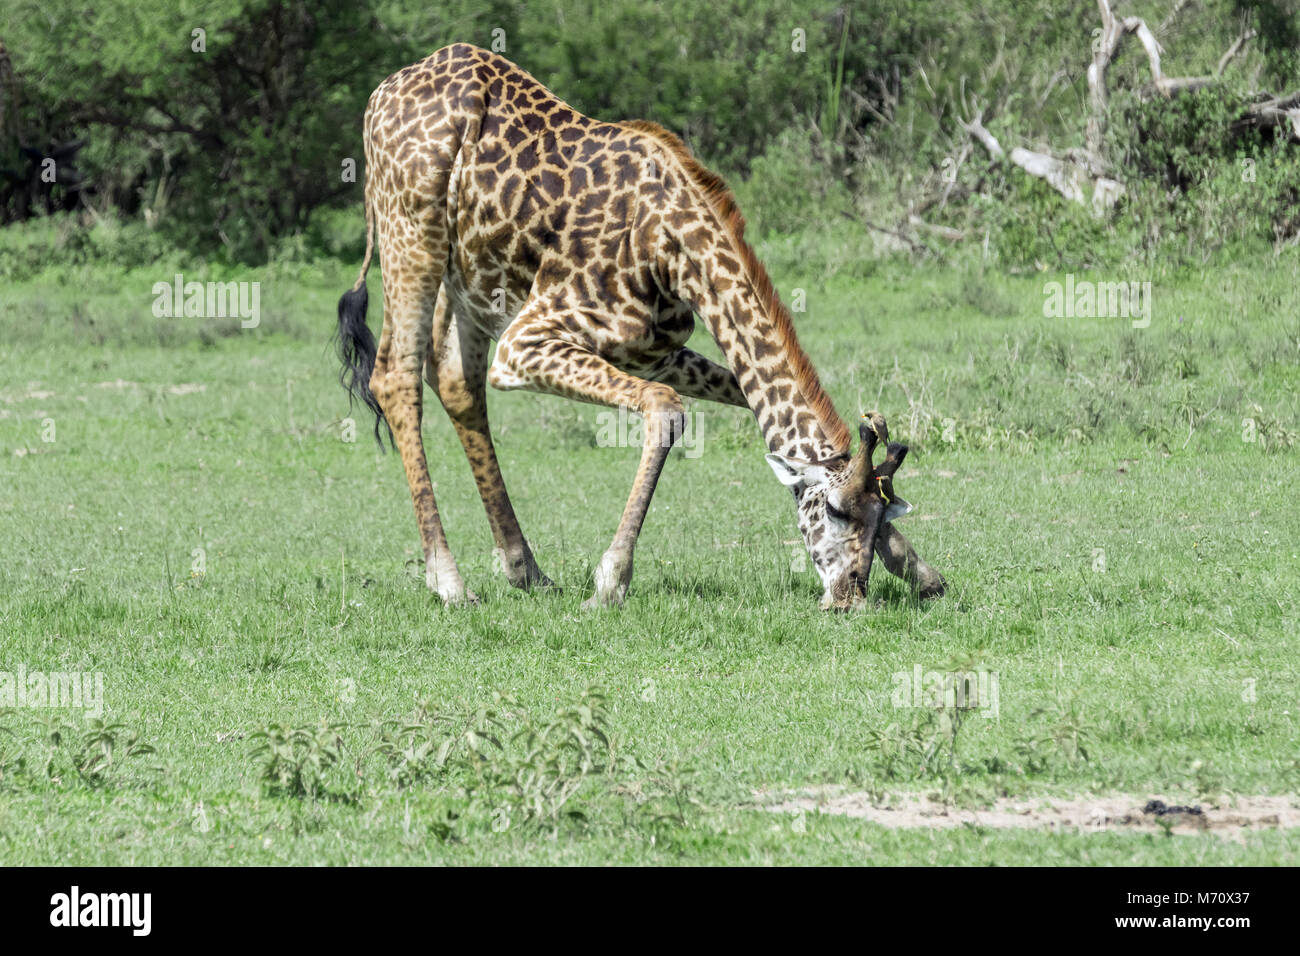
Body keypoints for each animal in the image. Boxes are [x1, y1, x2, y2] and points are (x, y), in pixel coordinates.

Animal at [336, 43, 947, 610]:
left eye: (879, 516)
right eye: (836, 512)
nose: (849, 596)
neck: (673, 250)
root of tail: (379, 95)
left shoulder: (654, 352)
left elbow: (743, 398)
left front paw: (920, 571)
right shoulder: (525, 343)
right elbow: (667, 411)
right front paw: (611, 582)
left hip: (469, 279)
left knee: (455, 381)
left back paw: (525, 570)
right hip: (411, 235)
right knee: (395, 377)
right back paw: (449, 582)